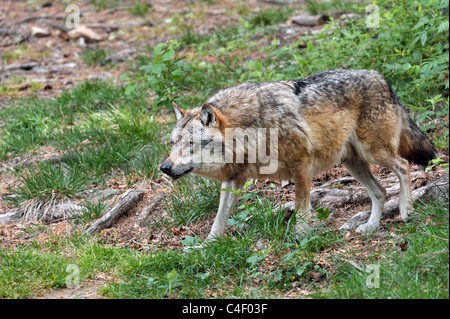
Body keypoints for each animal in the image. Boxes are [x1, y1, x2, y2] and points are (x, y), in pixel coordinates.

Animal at [161, 68, 436, 242]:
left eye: (191, 144)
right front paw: (206, 246)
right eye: (173, 144)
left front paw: (300, 234)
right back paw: (370, 227)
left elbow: (301, 205)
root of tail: (381, 78)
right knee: (380, 191)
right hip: (352, 163)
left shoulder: (300, 164)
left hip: (374, 153)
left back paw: (405, 209)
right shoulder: (233, 181)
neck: (251, 129)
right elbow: (218, 220)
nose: (164, 167)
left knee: (403, 165)